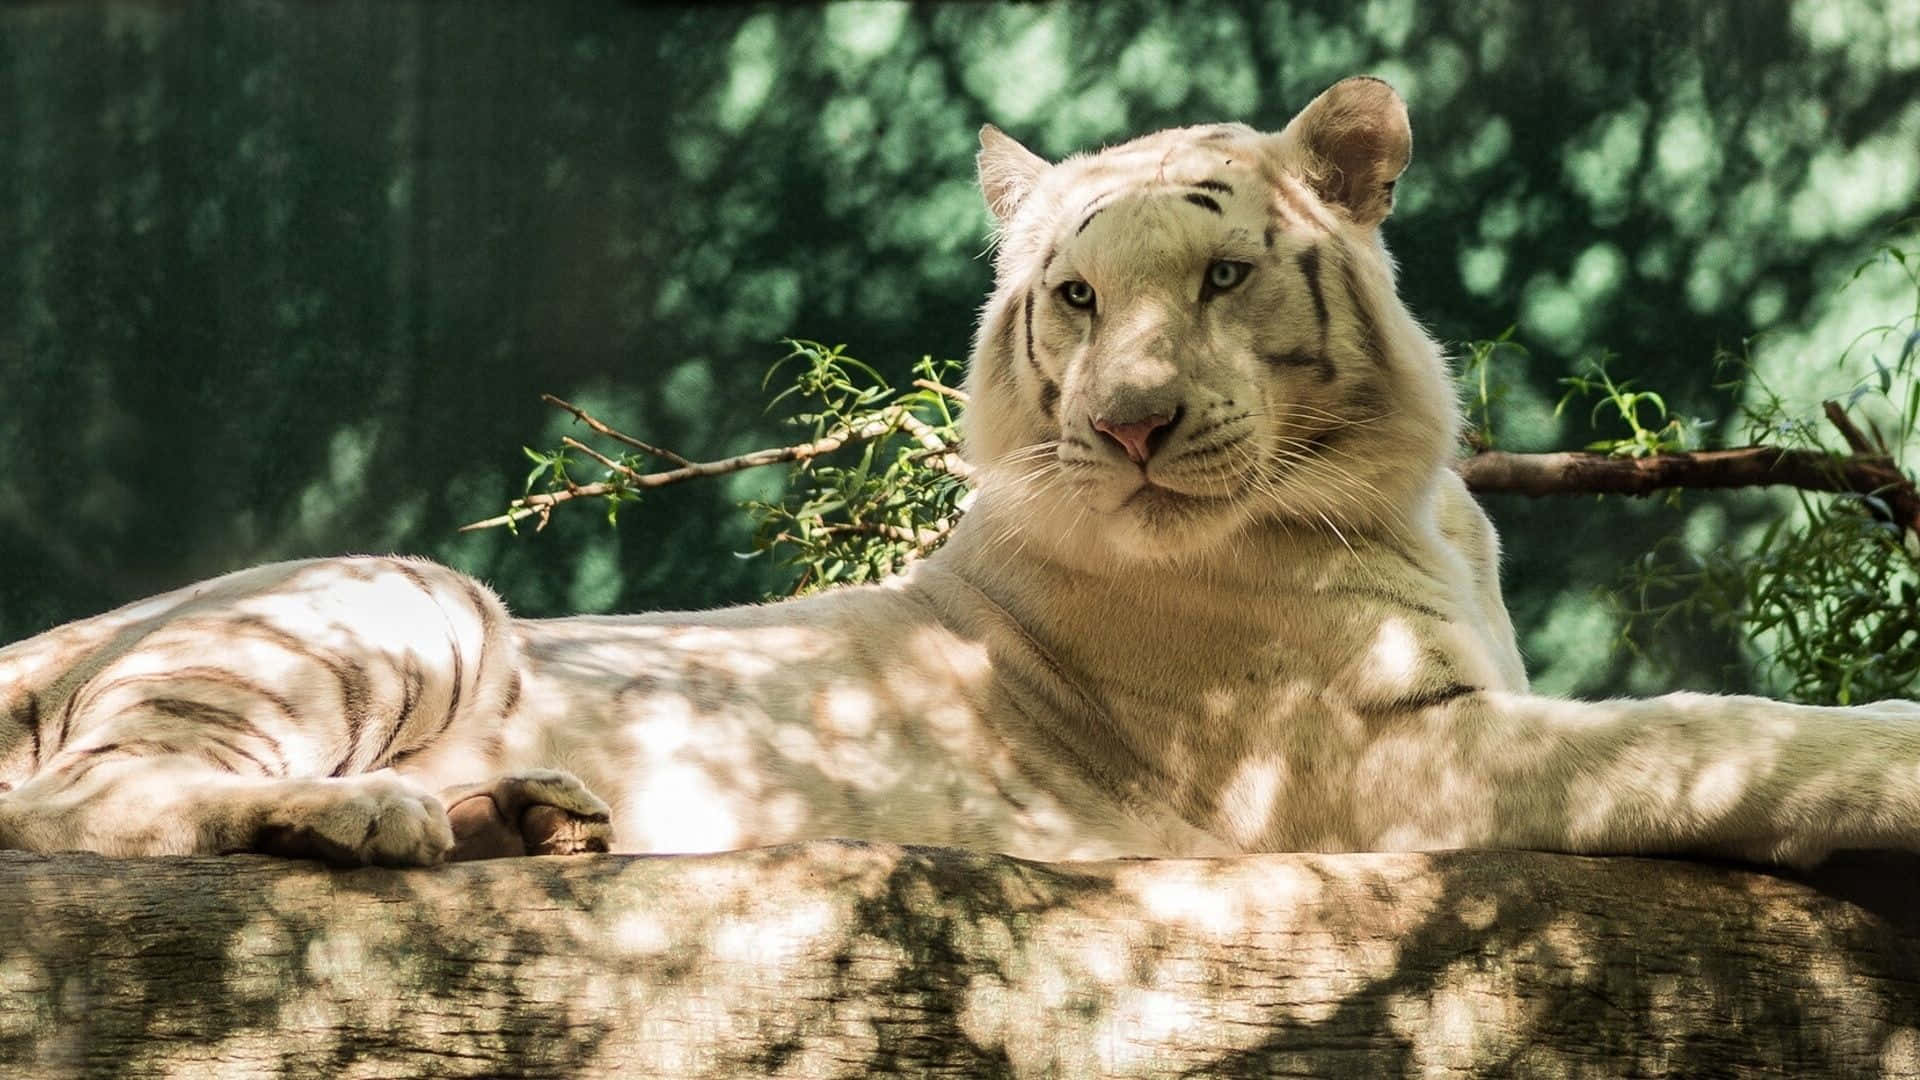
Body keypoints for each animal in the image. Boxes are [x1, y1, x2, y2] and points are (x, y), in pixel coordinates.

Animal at [3, 75, 1920, 864]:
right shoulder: (1380, 762)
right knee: (78, 803)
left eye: (1221, 277)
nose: (1131, 424)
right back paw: (365, 818)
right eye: (1076, 295)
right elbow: (1702, 737)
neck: (1405, 494)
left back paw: (526, 816)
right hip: (405, 592)